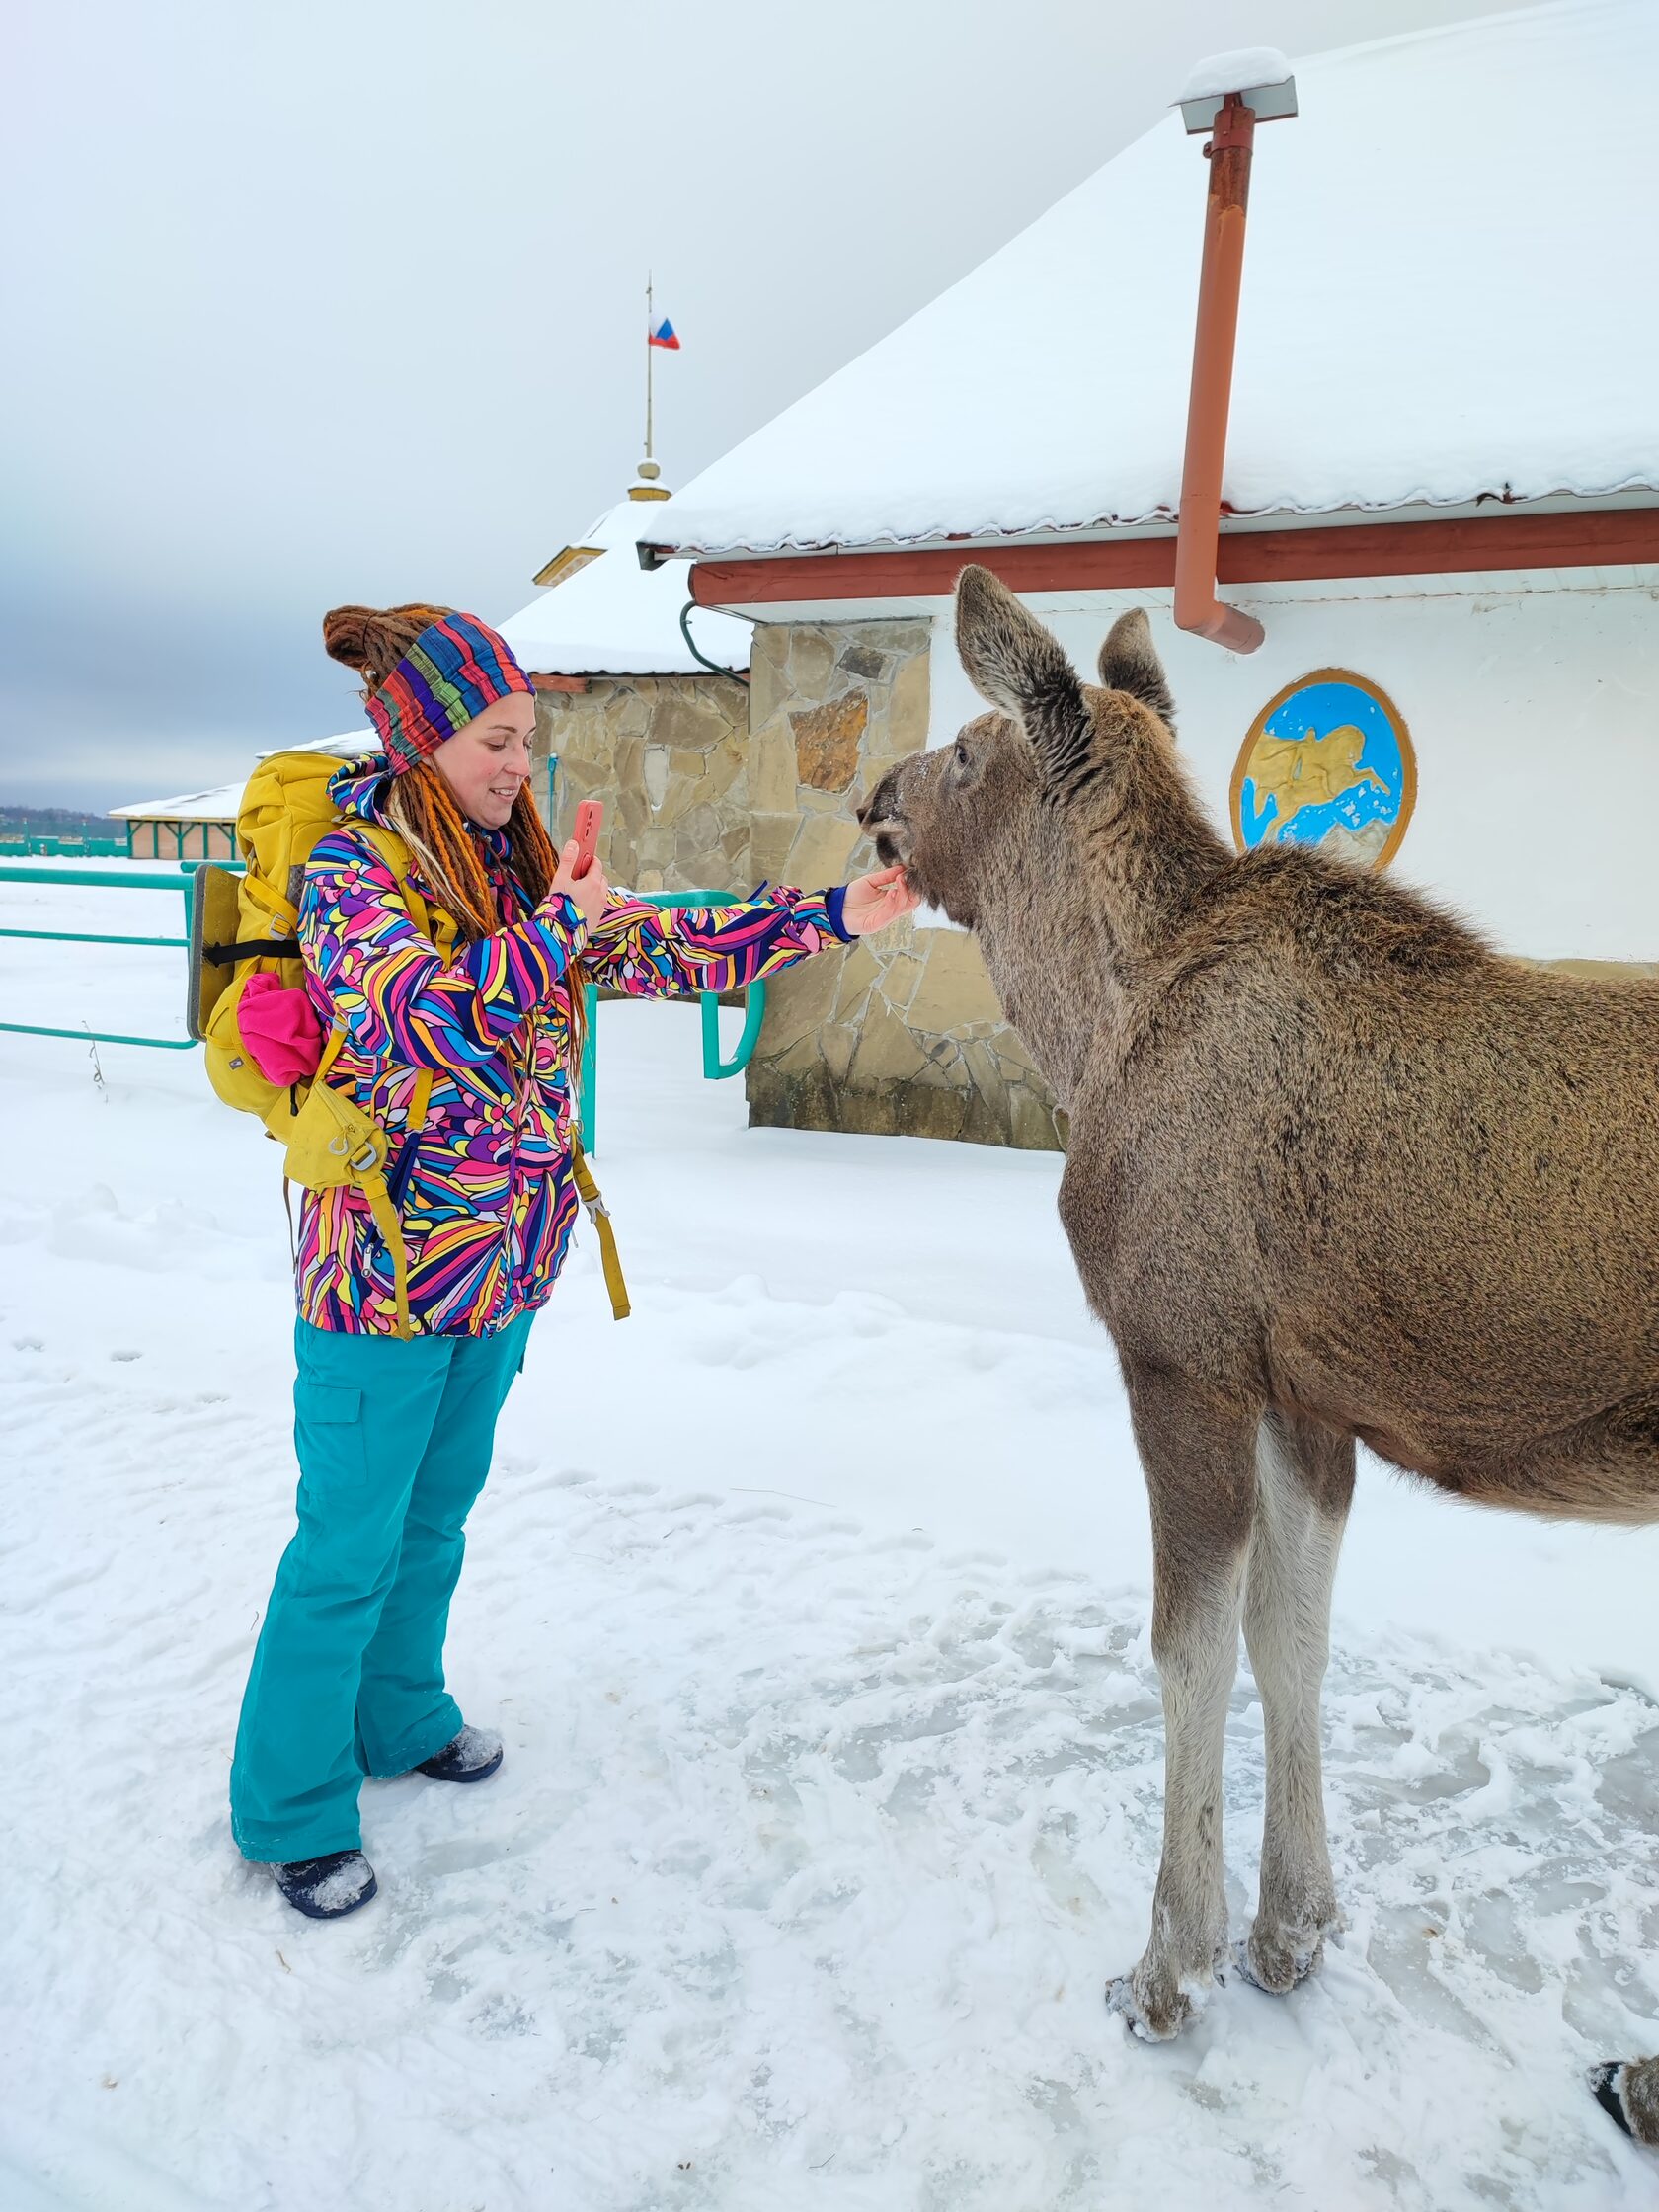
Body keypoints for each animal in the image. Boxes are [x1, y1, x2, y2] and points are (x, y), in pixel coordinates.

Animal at [862, 570, 1659, 2141]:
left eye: (972, 750)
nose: (874, 794)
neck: (1089, 1031)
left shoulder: (1183, 1356)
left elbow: (1191, 1645)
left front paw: (1167, 1963)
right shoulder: (1306, 1392)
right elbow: (1295, 1637)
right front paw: (1294, 1927)